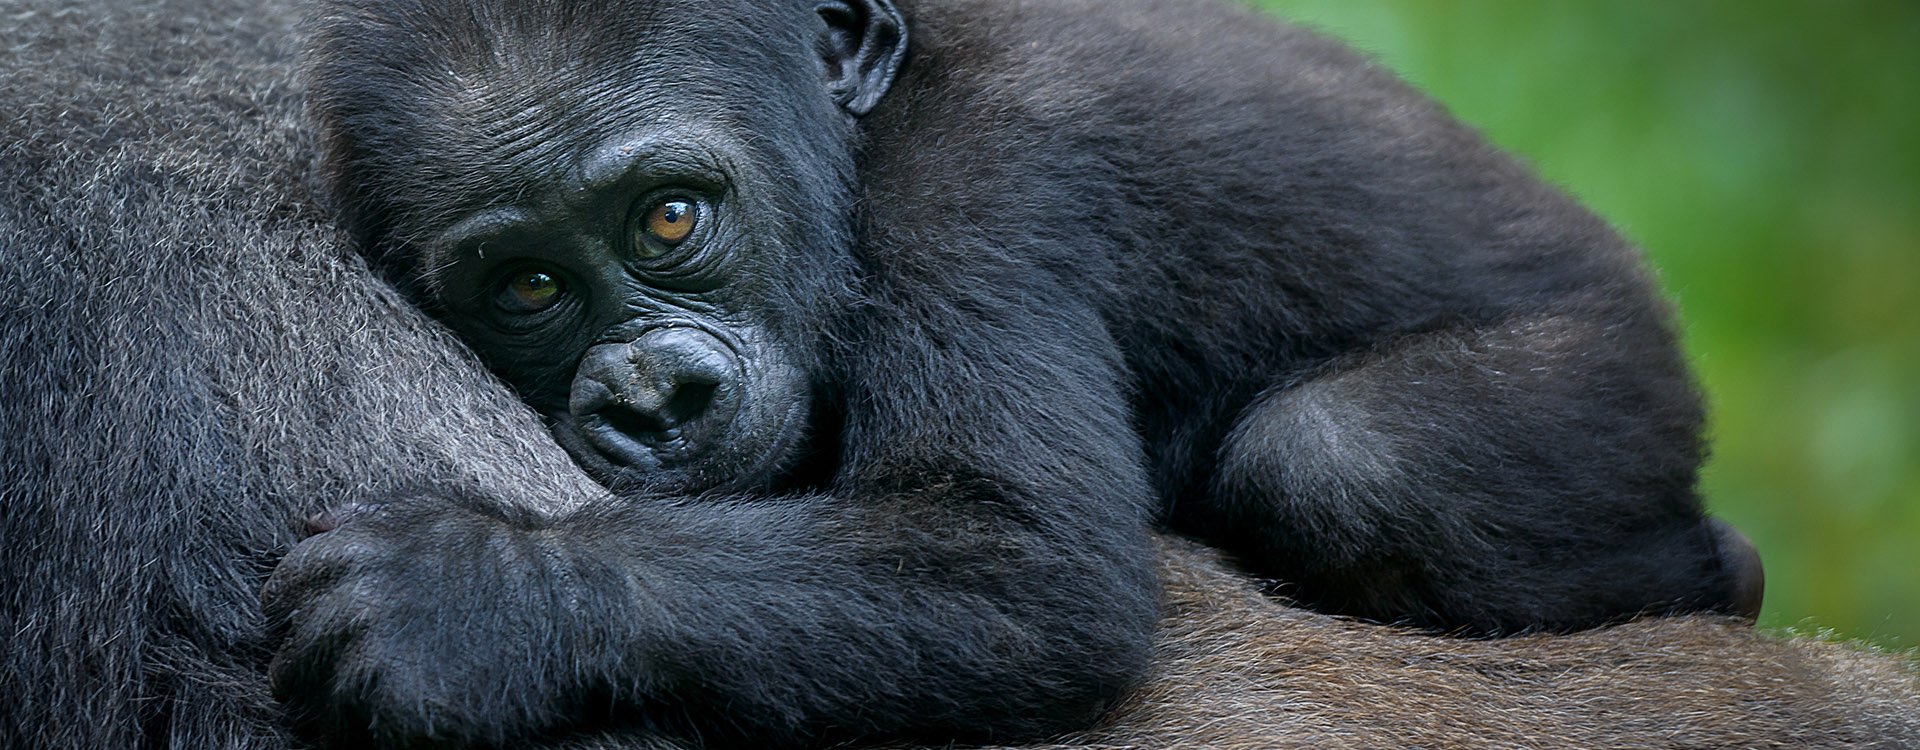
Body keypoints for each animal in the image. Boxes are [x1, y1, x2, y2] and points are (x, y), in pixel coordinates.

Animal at [270, 0, 1766, 744]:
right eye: (526, 287)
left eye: (671, 219)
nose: (650, 399)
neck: (856, 114)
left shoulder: (978, 190)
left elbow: (1029, 572)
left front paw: (482, 595)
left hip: (1618, 380)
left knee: (1348, 462)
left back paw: (1727, 574)